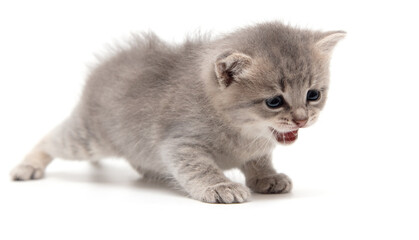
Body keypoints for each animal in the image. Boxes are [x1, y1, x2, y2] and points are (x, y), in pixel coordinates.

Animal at [9, 22, 346, 202]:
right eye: (274, 101)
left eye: (313, 95)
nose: (302, 119)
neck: (242, 132)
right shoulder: (180, 143)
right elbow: (200, 167)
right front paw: (221, 186)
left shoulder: (257, 147)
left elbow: (259, 160)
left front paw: (267, 177)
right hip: (89, 138)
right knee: (50, 139)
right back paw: (27, 167)